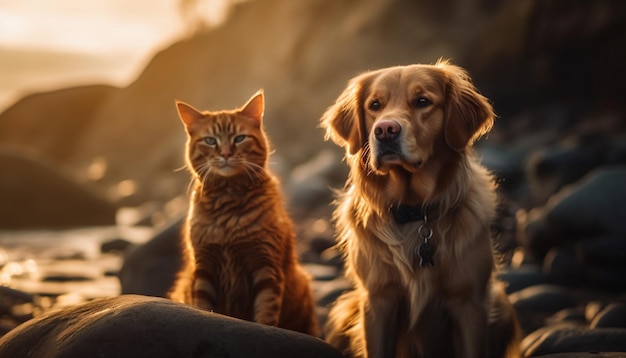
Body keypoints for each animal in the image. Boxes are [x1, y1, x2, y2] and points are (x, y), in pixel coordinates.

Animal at [167, 89, 316, 336]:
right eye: (210, 141)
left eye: (239, 138)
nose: (226, 154)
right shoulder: (204, 268)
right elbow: (202, 305)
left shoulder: (266, 267)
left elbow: (266, 313)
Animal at [320, 61, 520, 358]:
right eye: (375, 105)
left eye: (423, 101)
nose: (385, 130)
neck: (414, 211)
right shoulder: (378, 301)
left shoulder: (469, 304)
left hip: (501, 303)